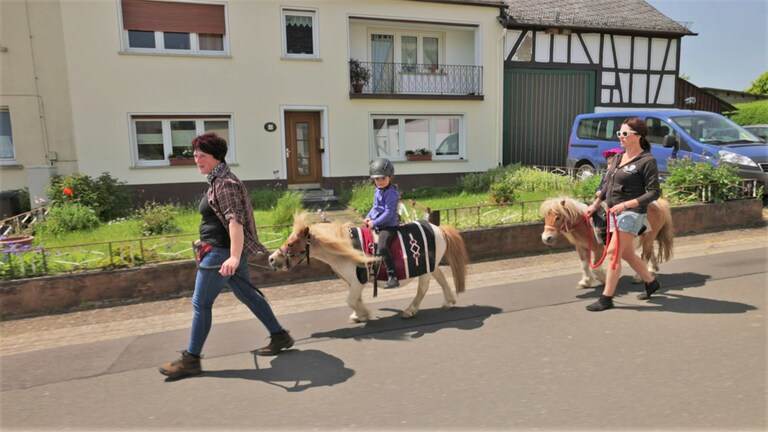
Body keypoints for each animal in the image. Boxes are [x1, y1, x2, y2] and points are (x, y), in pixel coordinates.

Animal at [268, 213, 468, 324]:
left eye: (291, 243)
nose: (271, 259)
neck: (345, 247)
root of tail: (438, 229)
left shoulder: (359, 279)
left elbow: (350, 300)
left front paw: (364, 314)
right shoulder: (353, 282)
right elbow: (355, 299)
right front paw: (358, 315)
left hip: (425, 270)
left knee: (422, 289)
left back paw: (410, 311)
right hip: (430, 267)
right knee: (441, 279)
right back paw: (449, 302)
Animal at [540, 197, 672, 288]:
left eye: (558, 217)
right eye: (545, 217)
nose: (546, 238)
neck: (587, 225)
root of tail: (658, 203)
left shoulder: (599, 249)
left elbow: (596, 268)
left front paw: (603, 279)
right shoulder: (581, 248)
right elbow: (584, 265)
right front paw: (585, 281)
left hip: (649, 237)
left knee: (645, 255)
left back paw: (638, 277)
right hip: (646, 237)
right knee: (650, 252)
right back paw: (651, 269)